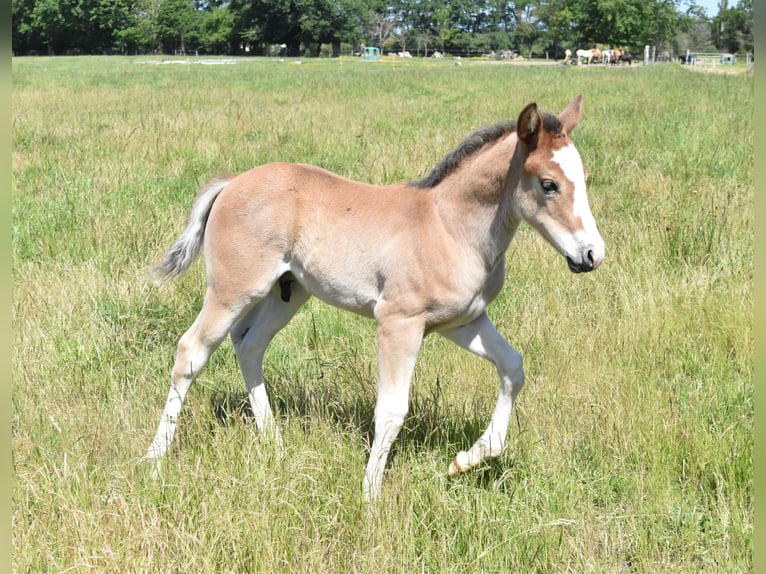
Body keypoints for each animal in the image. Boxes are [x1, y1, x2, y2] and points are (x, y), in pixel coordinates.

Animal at [145, 95, 605, 501]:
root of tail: (232, 183)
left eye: (584, 178)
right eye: (548, 184)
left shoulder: (462, 322)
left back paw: (274, 442)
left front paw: (466, 460)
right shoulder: (398, 322)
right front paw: (370, 496)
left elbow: (513, 367)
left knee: (249, 344)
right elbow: (391, 409)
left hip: (286, 293)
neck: (449, 227)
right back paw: (154, 458)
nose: (592, 255)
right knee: (191, 351)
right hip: (233, 289)